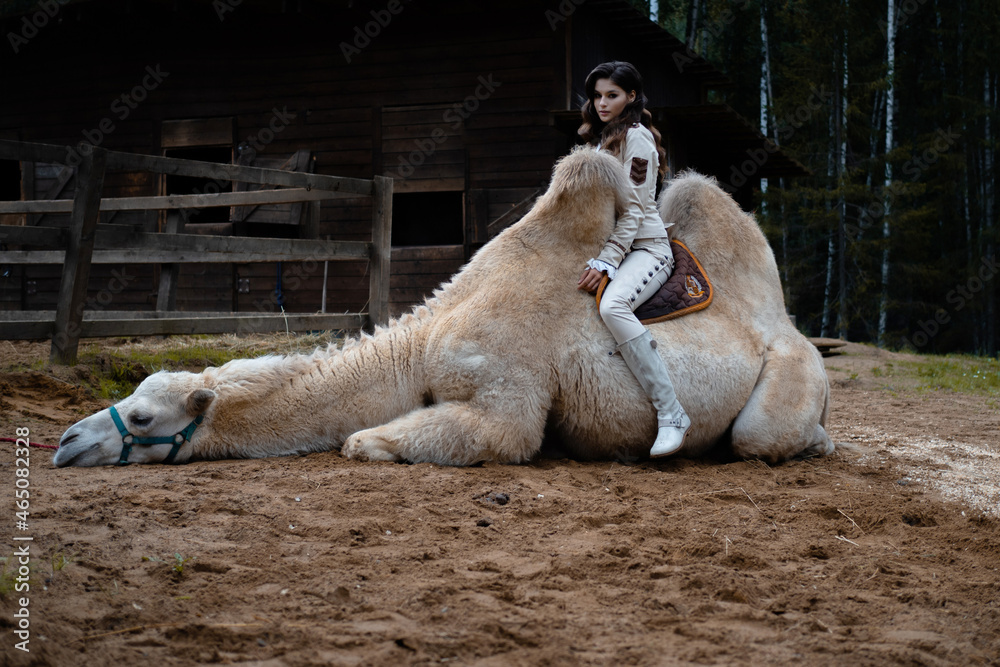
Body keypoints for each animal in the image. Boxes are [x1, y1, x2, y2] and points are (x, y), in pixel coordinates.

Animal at [54, 147, 834, 468]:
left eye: (145, 417)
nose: (65, 442)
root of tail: (788, 322)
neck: (422, 344)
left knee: (760, 435)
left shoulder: (504, 395)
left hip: (789, 375)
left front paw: (368, 440)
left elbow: (468, 436)